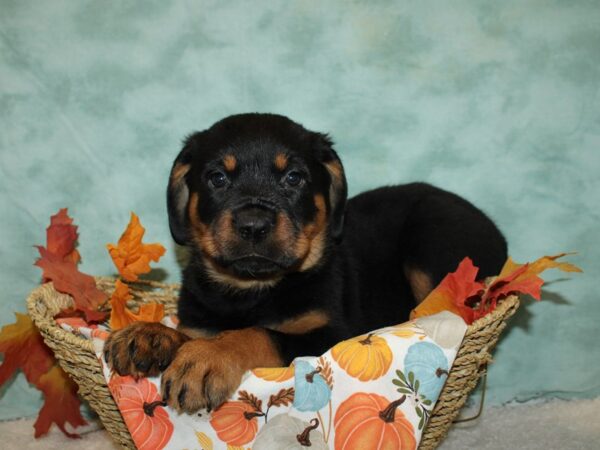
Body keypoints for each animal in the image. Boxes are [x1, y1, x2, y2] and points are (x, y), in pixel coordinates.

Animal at [104, 113, 506, 414]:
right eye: (217, 178)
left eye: (293, 177)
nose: (254, 225)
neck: (251, 290)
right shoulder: (202, 320)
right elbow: (194, 332)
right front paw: (150, 336)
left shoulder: (333, 334)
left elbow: (258, 333)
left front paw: (207, 359)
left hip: (431, 239)